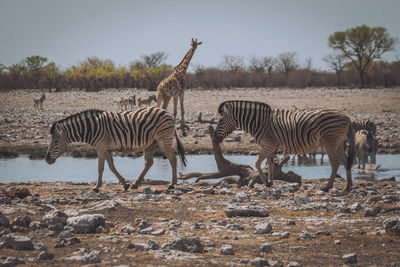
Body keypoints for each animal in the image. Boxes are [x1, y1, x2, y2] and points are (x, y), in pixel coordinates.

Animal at [44, 108, 188, 192]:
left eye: (55, 142)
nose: (46, 160)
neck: (91, 128)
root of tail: (168, 113)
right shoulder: (105, 149)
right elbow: (111, 167)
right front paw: (125, 184)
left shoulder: (101, 147)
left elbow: (101, 168)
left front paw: (97, 186)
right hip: (150, 143)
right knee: (149, 162)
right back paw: (135, 183)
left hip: (163, 139)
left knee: (172, 159)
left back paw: (172, 184)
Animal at [214, 99, 354, 192]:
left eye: (220, 120)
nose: (215, 139)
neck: (259, 122)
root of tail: (347, 116)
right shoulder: (270, 146)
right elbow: (270, 165)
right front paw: (270, 182)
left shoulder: (268, 145)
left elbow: (257, 163)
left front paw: (265, 182)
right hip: (339, 142)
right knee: (345, 161)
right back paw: (348, 185)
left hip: (329, 141)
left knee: (335, 162)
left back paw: (328, 186)